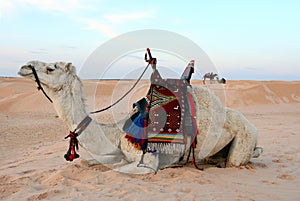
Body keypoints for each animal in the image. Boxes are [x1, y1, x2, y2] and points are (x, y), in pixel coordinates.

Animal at [18, 60, 262, 174]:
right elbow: (88, 161)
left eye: (51, 68)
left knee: (236, 160)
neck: (117, 131)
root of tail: (253, 128)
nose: (24, 66)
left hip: (244, 139)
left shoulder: (147, 160)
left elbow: (116, 171)